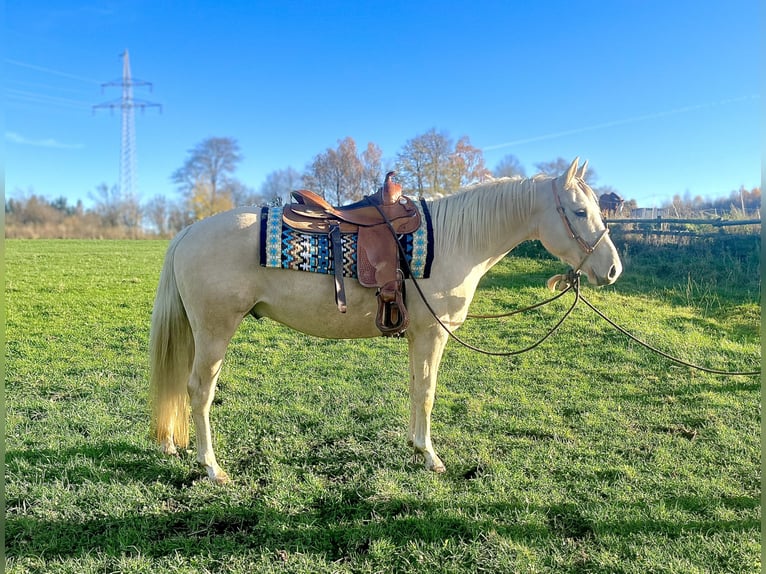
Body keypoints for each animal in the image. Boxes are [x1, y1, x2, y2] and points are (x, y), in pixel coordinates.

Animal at [149, 157, 622, 483]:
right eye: (579, 212)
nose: (613, 269)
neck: (456, 239)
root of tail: (188, 232)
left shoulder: (417, 334)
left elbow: (416, 389)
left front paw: (415, 447)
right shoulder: (432, 334)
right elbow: (428, 393)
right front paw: (431, 457)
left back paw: (173, 446)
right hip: (215, 332)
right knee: (199, 391)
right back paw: (212, 467)